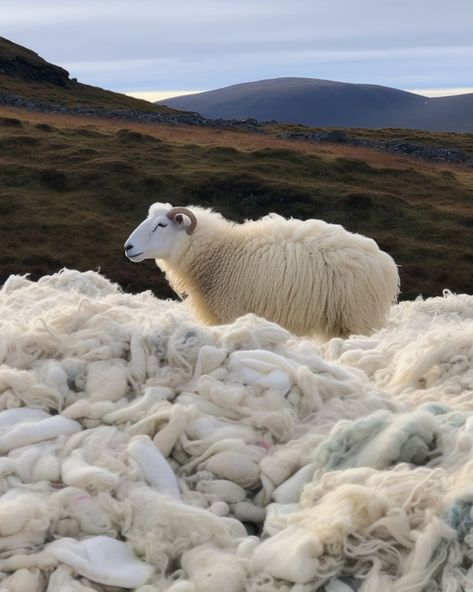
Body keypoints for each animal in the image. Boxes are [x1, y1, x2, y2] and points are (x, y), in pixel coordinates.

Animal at [122, 204, 398, 338]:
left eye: (161, 225)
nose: (128, 247)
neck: (219, 254)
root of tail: (386, 264)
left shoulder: (230, 311)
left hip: (358, 318)